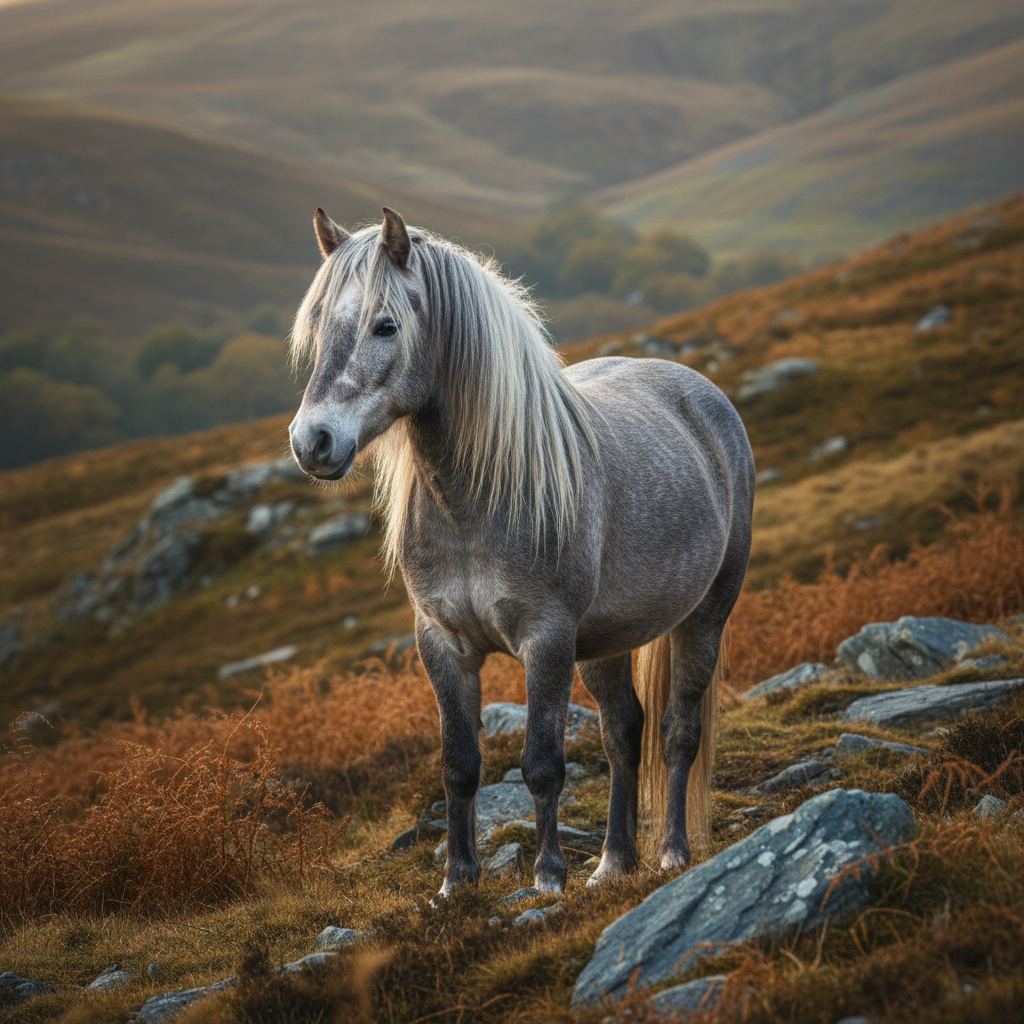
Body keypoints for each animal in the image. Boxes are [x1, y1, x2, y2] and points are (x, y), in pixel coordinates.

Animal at [288, 207, 754, 896]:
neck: (473, 506)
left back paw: (671, 850)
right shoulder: (442, 644)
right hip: (606, 642)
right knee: (623, 733)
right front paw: (457, 881)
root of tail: (703, 394)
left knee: (676, 731)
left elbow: (542, 764)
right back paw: (613, 861)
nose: (312, 442)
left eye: (385, 324)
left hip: (704, 618)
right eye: (318, 325)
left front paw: (548, 876)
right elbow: (459, 764)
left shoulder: (547, 639)